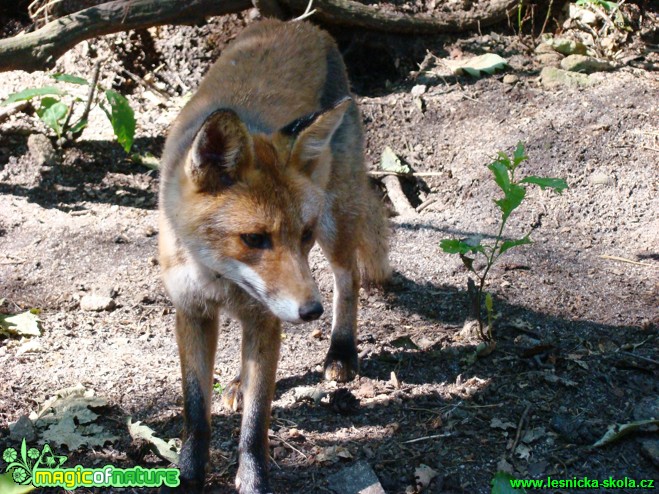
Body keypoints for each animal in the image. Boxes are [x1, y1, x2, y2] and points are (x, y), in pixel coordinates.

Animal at [157, 17, 390, 492]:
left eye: (302, 235)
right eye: (254, 238)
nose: (311, 312)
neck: (219, 278)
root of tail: (299, 25)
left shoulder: (266, 318)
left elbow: (255, 425)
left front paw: (252, 480)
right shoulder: (192, 312)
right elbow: (196, 414)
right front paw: (189, 476)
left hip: (337, 224)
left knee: (349, 279)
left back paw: (341, 351)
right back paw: (237, 381)